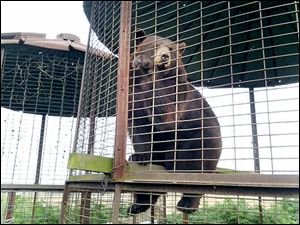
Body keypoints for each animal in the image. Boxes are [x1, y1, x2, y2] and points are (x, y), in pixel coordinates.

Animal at [127, 29, 221, 214]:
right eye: (155, 44)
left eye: (171, 48)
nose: (164, 57)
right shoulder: (132, 95)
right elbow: (139, 128)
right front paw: (139, 156)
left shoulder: (178, 91)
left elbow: (167, 115)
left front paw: (144, 64)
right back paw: (139, 204)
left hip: (199, 136)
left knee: (196, 165)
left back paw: (187, 204)